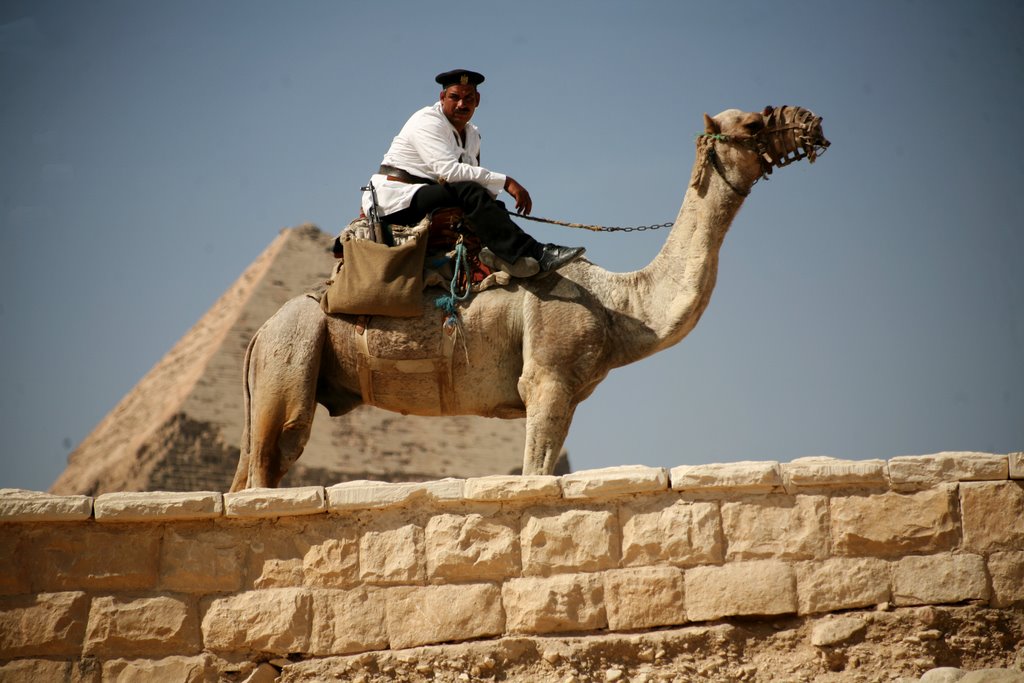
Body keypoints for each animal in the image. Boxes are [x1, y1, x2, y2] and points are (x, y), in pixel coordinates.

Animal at [228, 105, 827, 491]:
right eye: (753, 123)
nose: (811, 122)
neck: (619, 305)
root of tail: (257, 334)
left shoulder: (565, 391)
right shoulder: (547, 380)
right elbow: (535, 475)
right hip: (292, 354)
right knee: (268, 464)